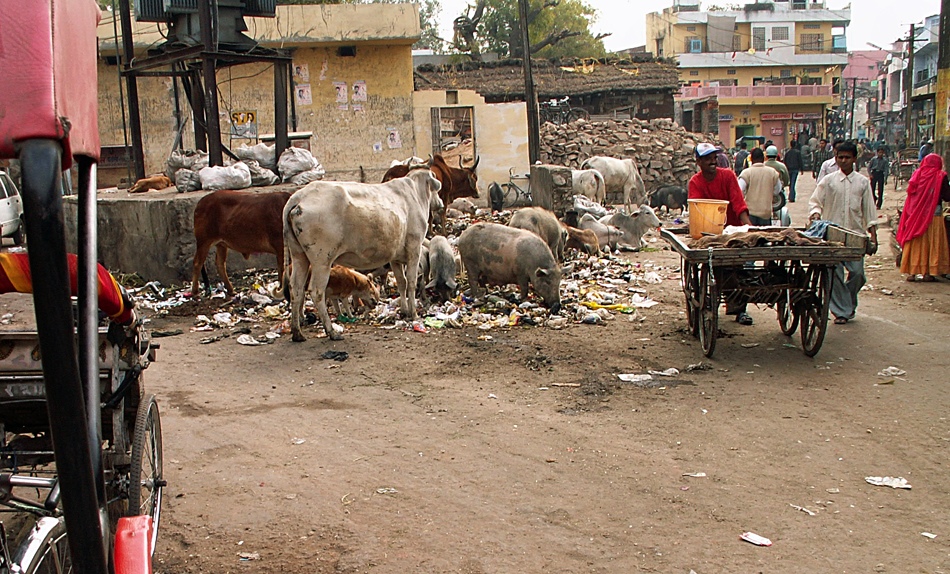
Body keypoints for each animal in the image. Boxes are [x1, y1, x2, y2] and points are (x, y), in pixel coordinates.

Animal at [284, 166, 444, 342]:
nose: (441, 203)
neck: (416, 193)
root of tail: (300, 196)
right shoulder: (414, 250)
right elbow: (411, 282)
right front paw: (414, 314)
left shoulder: (395, 257)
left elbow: (401, 282)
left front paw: (404, 311)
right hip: (322, 260)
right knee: (316, 291)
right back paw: (331, 331)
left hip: (299, 255)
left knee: (296, 288)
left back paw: (297, 332)